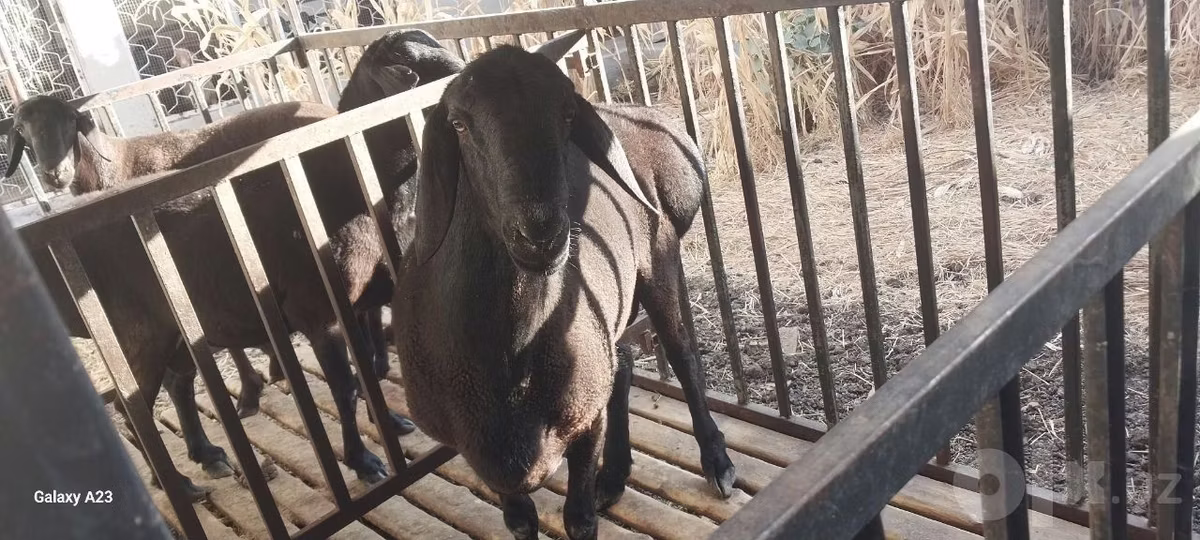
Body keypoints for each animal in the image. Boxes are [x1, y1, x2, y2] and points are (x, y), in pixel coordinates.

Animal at [5, 95, 418, 497]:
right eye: (22, 130)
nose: (53, 174)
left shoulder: (353, 308)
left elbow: (366, 370)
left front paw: (392, 423)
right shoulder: (317, 310)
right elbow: (346, 387)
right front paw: (364, 462)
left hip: (176, 330)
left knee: (178, 386)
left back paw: (206, 455)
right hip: (134, 333)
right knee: (133, 411)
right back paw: (180, 485)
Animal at [392, 43, 736, 539]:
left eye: (568, 112)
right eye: (457, 123)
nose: (541, 233)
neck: (506, 355)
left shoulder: (582, 423)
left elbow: (579, 519)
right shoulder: (482, 456)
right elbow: (519, 522)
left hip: (658, 258)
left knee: (682, 353)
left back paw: (716, 462)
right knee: (623, 363)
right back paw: (614, 474)